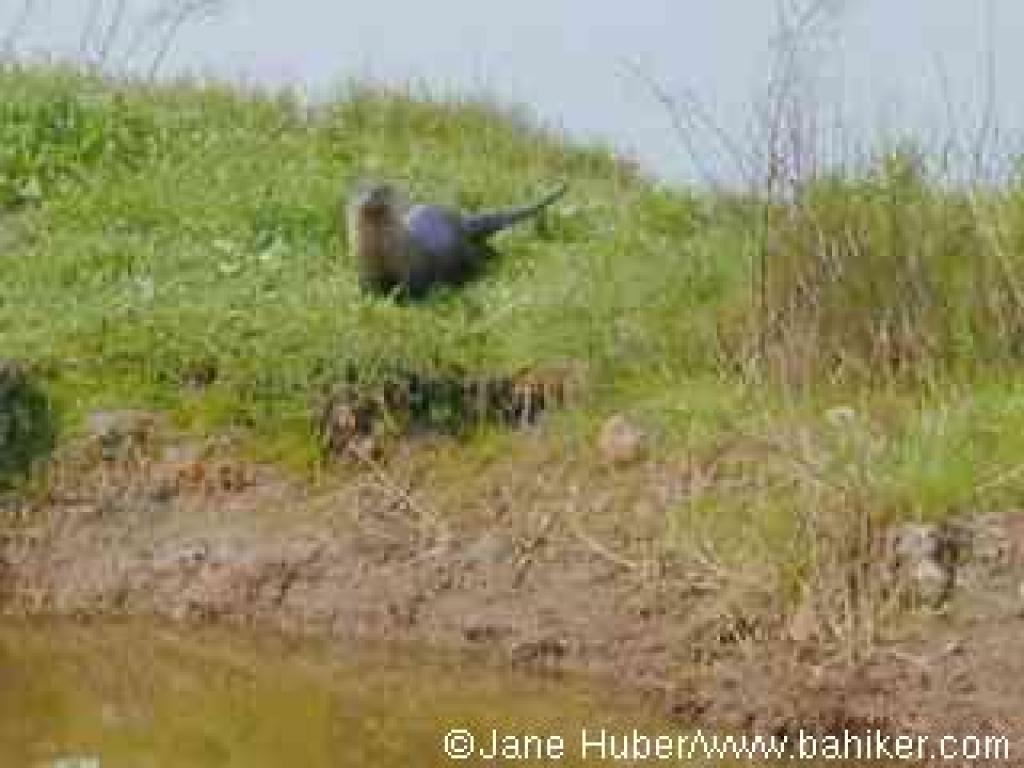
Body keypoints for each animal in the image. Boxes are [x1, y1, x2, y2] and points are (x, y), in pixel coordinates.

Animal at [344, 180, 567, 298]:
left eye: (383, 190)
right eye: (360, 190)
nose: (371, 196)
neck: (381, 252)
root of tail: (462, 220)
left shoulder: (411, 266)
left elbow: (413, 286)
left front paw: (403, 299)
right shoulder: (365, 266)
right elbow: (367, 286)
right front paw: (369, 298)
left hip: (466, 251)